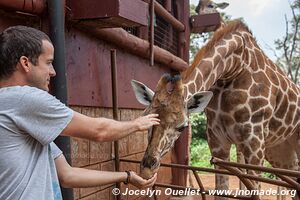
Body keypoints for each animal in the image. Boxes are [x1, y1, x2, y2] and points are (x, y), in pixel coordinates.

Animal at [133, 19, 300, 198]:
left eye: (182, 127)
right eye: (147, 118)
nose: (147, 170)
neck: (234, 68)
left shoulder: (254, 143)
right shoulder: (217, 142)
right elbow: (221, 191)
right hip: (278, 149)